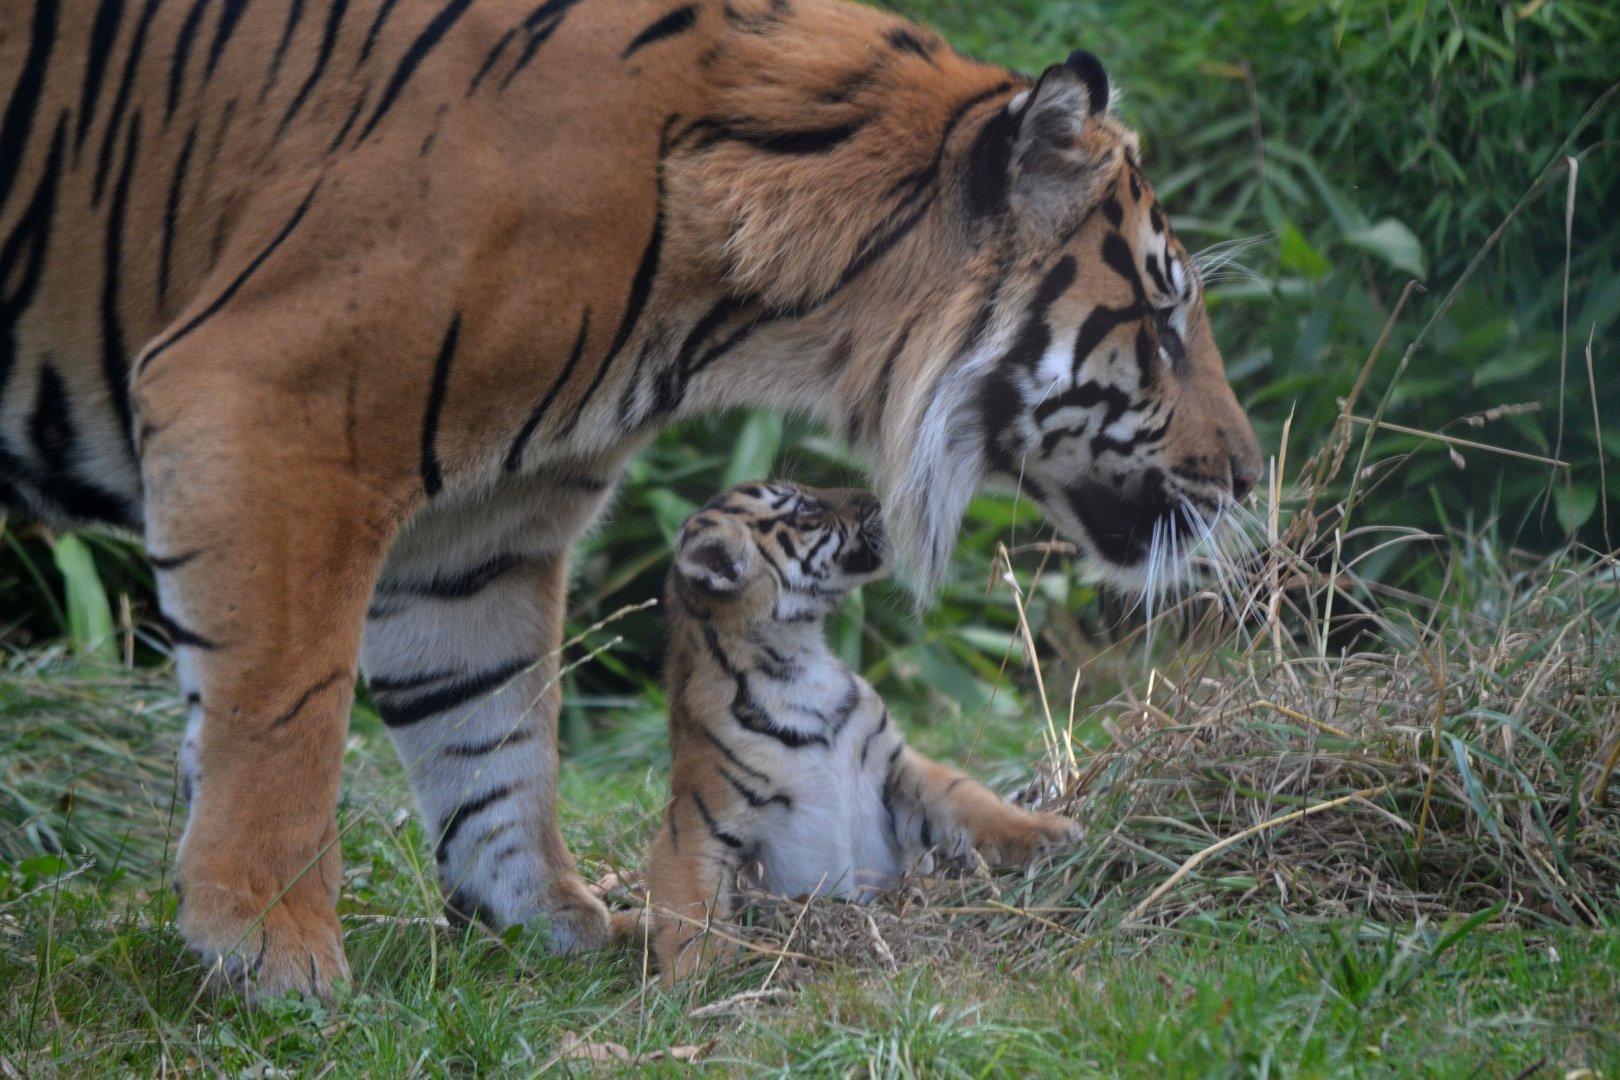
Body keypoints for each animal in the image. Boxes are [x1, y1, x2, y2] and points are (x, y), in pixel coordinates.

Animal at [642, 481, 1080, 983]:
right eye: (805, 507)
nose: (874, 498)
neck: (798, 662)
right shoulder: (694, 823)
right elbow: (690, 908)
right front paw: (702, 978)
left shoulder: (896, 767)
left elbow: (974, 800)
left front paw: (1048, 832)